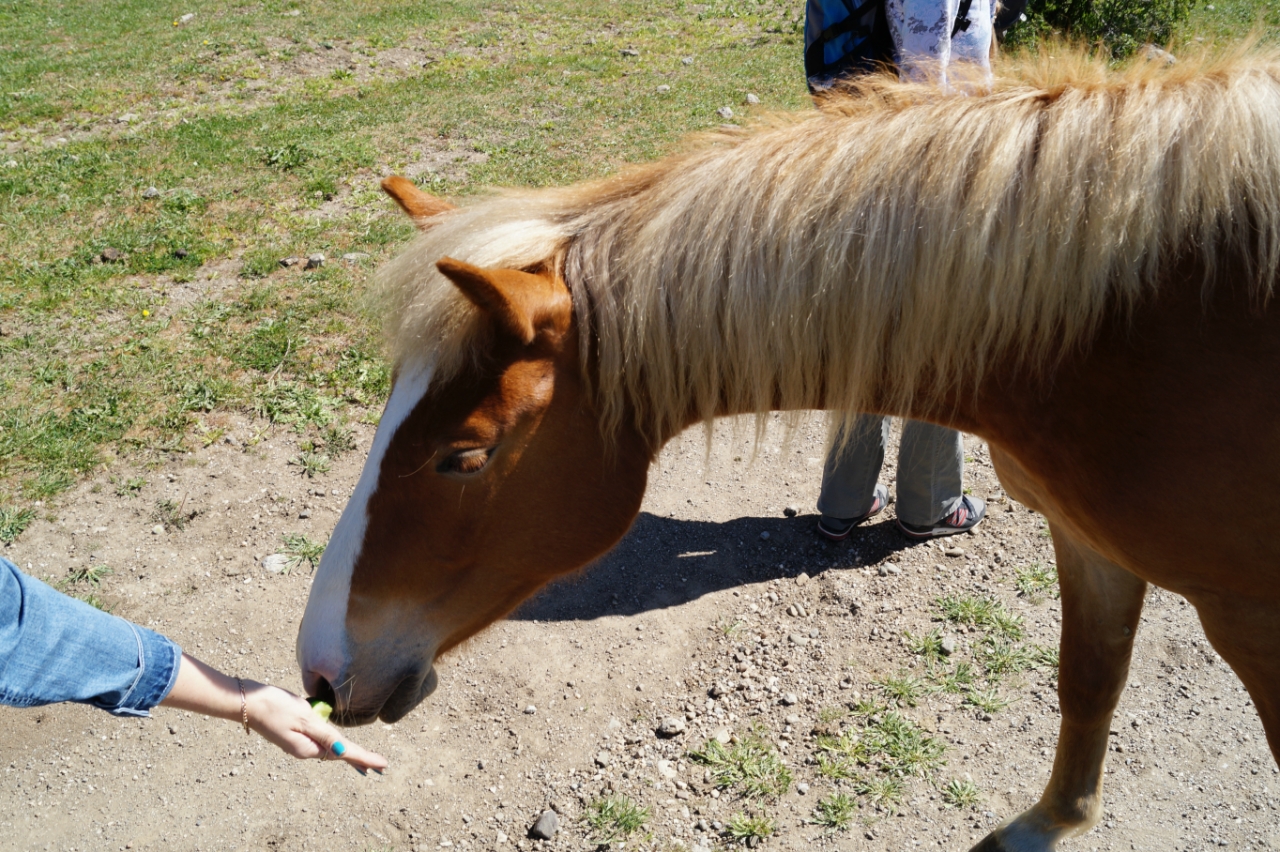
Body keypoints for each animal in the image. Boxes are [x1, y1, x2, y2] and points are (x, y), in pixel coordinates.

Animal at [294, 47, 1280, 849]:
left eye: (463, 457)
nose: (320, 670)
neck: (1129, 327)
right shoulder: (1090, 542)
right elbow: (1087, 681)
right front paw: (1049, 824)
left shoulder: (1247, 612)